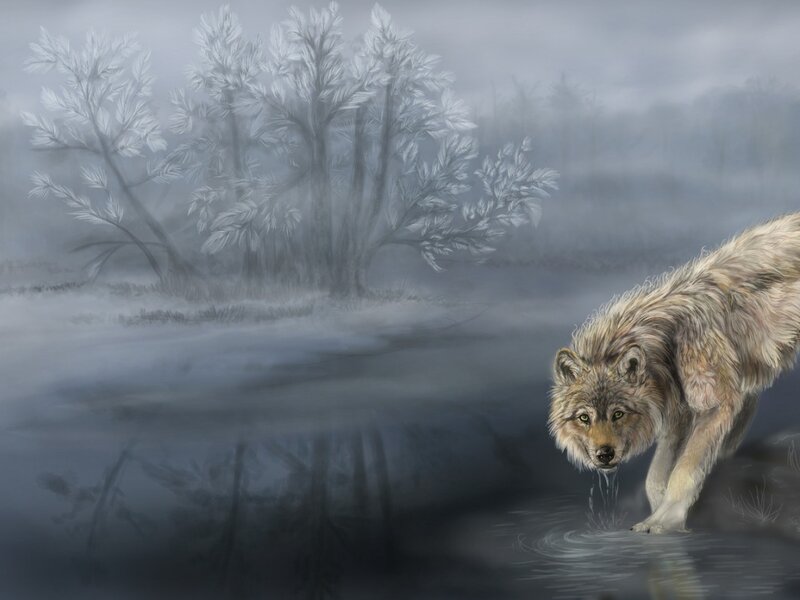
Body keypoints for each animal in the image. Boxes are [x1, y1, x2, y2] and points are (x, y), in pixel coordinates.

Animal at [549, 213, 800, 533]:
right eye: (584, 418)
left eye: (618, 414)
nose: (605, 454)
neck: (665, 345)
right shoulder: (677, 412)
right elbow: (655, 477)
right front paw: (657, 509)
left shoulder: (714, 405)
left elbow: (684, 470)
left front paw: (666, 520)